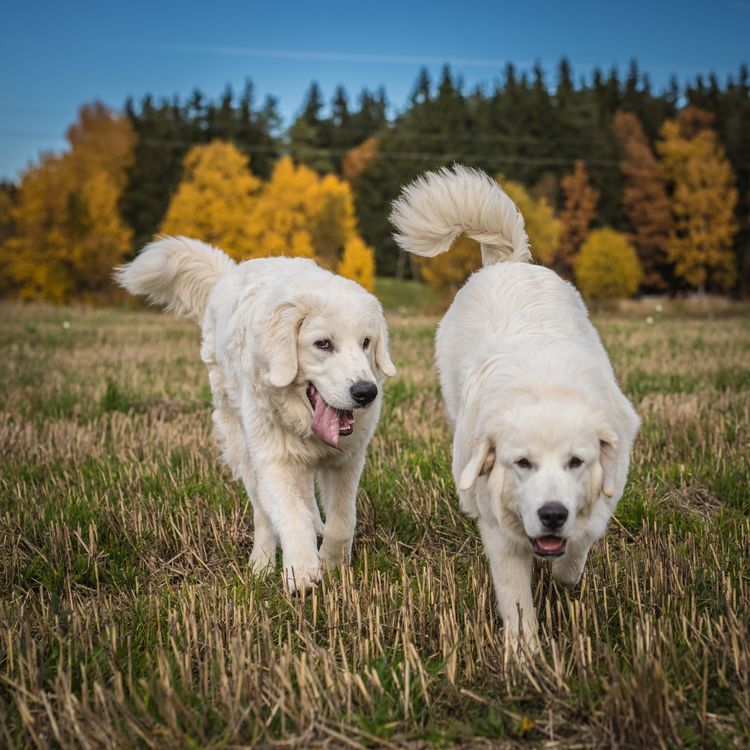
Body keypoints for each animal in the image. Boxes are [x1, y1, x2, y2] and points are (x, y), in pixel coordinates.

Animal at [115, 239, 396, 592]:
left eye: (366, 342)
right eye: (323, 344)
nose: (365, 392)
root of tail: (232, 272)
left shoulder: (347, 462)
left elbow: (343, 521)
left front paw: (333, 566)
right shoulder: (273, 461)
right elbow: (291, 516)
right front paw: (301, 572)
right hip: (242, 446)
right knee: (264, 513)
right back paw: (261, 564)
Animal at [390, 169, 644, 652]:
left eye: (576, 462)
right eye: (522, 463)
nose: (552, 514)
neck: (542, 386)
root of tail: (506, 263)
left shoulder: (604, 493)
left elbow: (576, 550)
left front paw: (564, 576)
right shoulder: (497, 528)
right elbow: (515, 597)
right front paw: (524, 654)